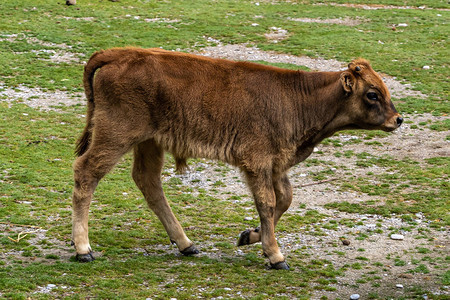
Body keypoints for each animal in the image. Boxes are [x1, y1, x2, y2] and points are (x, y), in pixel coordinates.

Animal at [72, 47, 402, 270]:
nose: (398, 119)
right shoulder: (257, 163)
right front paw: (275, 255)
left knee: (149, 184)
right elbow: (267, 203)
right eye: (372, 94)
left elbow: (284, 200)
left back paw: (186, 244)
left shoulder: (276, 165)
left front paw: (249, 236)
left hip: (149, 143)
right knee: (86, 173)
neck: (298, 98)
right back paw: (83, 249)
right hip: (116, 136)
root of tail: (120, 53)